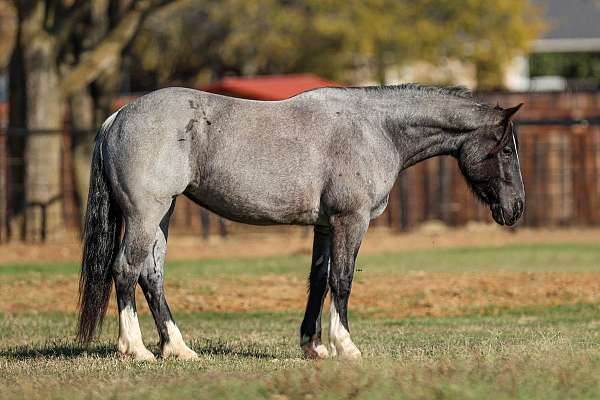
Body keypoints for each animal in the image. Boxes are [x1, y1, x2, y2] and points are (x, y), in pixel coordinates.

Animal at [77, 83, 524, 360]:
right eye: (505, 151)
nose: (516, 208)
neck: (374, 129)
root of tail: (118, 116)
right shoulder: (350, 221)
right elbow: (342, 280)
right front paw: (345, 346)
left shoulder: (325, 225)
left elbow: (318, 280)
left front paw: (314, 346)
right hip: (145, 214)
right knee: (126, 270)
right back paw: (136, 349)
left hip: (162, 214)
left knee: (151, 275)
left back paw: (178, 348)